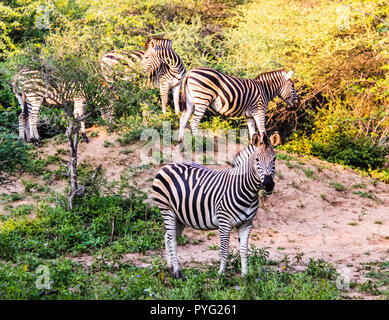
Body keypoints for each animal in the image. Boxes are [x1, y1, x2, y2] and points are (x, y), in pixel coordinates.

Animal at [151, 131, 278, 278]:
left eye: (274, 159)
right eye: (257, 160)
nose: (268, 185)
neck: (247, 191)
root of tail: (167, 165)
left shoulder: (246, 224)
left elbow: (244, 251)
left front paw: (245, 276)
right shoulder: (224, 223)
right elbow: (224, 250)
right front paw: (221, 275)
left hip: (180, 216)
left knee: (168, 237)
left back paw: (170, 267)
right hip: (167, 209)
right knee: (172, 240)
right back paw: (178, 272)